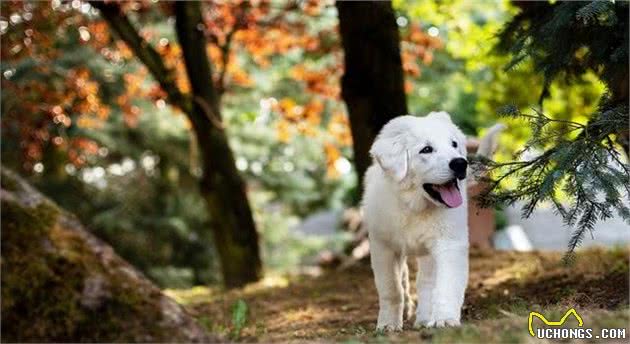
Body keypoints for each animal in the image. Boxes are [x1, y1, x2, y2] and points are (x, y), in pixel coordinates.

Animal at [366, 112, 504, 330]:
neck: (414, 207)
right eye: (427, 149)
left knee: (426, 283)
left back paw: (424, 319)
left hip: (428, 253)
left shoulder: (449, 243)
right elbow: (391, 289)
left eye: (454, 144)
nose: (460, 163)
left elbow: (446, 285)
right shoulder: (383, 247)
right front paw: (388, 324)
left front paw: (445, 319)